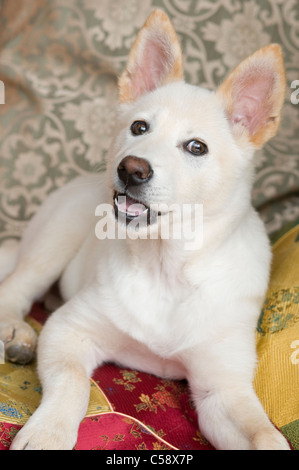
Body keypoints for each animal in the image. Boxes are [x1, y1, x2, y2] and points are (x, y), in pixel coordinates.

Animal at [0, 11, 290, 450]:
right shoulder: (68, 331)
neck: (165, 265)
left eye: (196, 147)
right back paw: (17, 331)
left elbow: (265, 435)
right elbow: (73, 385)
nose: (130, 169)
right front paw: (47, 433)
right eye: (139, 127)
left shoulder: (224, 388)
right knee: (15, 287)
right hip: (54, 237)